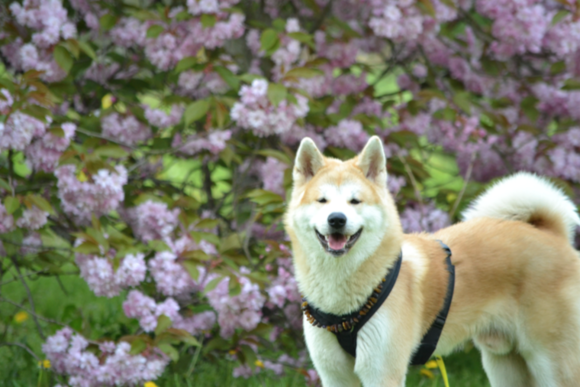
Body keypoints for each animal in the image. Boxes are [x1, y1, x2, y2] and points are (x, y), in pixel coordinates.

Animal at [286, 135, 580, 386]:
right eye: (322, 200)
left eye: (355, 201)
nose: (337, 219)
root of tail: (551, 234)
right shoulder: (334, 375)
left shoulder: (382, 373)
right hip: (504, 363)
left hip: (552, 363)